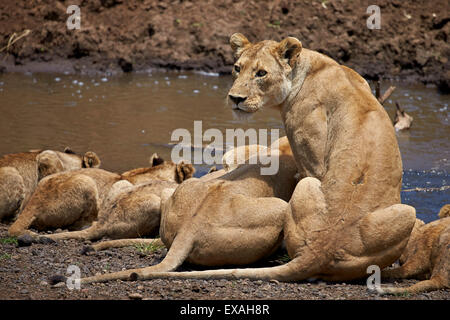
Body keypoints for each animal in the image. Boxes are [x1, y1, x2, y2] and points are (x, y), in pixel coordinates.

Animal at [67, 34, 418, 284]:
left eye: (261, 73)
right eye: (237, 68)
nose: (234, 98)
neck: (312, 66)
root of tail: (325, 247)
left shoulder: (311, 156)